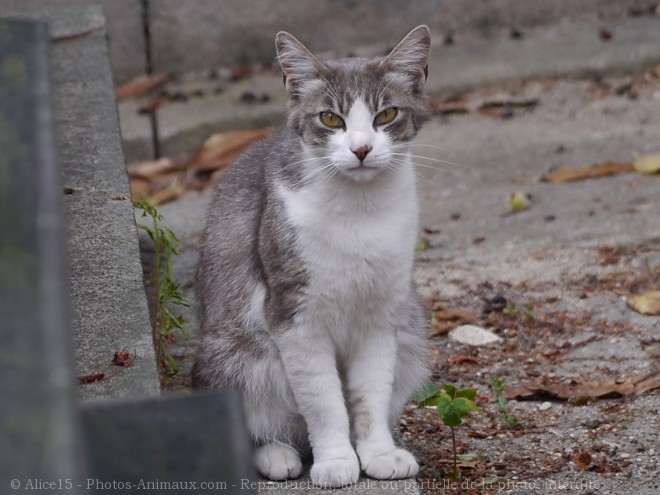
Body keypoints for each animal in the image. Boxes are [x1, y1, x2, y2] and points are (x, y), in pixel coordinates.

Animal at [195, 26, 434, 488]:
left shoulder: (383, 314)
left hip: (412, 331)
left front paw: (377, 453)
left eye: (386, 115)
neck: (359, 210)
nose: (361, 149)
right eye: (330, 119)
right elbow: (323, 401)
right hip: (232, 352)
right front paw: (337, 461)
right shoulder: (294, 315)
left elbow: (369, 394)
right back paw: (275, 453)